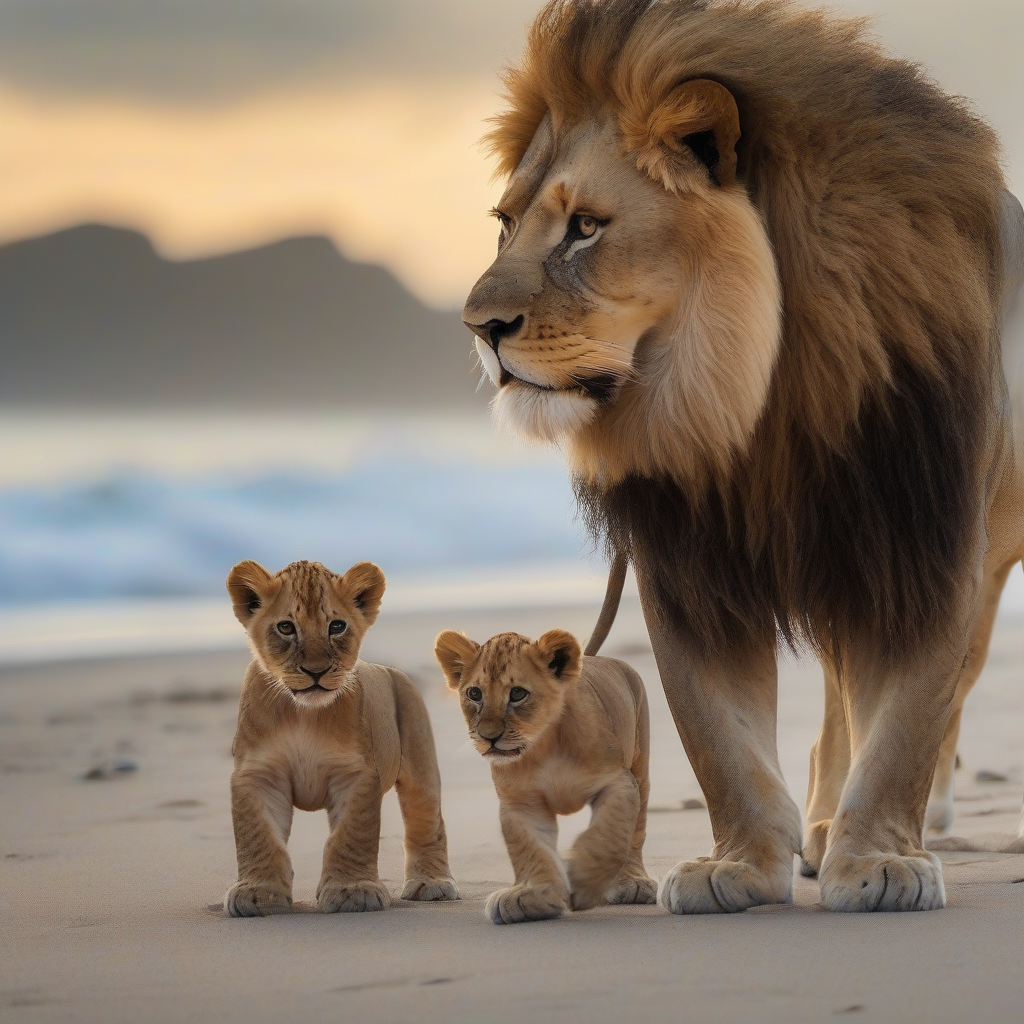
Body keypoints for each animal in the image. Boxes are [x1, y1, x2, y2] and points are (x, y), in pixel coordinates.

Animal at [223, 565, 456, 917]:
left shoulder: (355, 774)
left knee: (427, 822)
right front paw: (258, 893)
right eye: (286, 627)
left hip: (420, 762)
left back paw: (433, 885)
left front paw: (353, 891)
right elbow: (259, 836)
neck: (304, 715)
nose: (316, 671)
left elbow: (350, 835)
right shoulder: (258, 774)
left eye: (337, 626)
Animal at [432, 626, 655, 925]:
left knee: (635, 833)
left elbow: (609, 835)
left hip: (640, 769)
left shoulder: (617, 781)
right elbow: (531, 849)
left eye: (517, 693)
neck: (544, 745)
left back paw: (633, 882)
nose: (489, 737)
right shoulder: (521, 802)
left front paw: (583, 883)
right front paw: (532, 897)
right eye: (475, 694)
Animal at [462, 0, 1024, 913]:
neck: (758, 401)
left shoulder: (924, 538)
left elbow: (906, 722)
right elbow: (719, 738)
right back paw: (822, 828)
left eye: (585, 227)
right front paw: (743, 866)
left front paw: (881, 860)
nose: (479, 327)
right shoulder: (686, 563)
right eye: (509, 225)